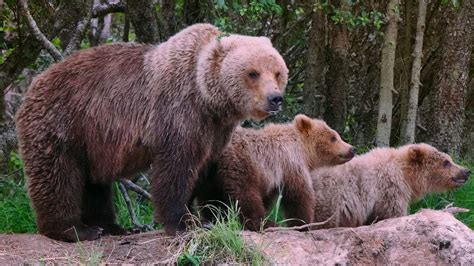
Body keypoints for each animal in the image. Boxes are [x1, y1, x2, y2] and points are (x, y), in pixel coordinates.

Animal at [15, 23, 288, 242]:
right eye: (253, 72)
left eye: (277, 72)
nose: (275, 98)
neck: (208, 97)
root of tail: (33, 85)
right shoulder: (178, 114)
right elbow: (175, 169)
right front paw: (185, 222)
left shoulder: (214, 131)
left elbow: (206, 171)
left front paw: (216, 217)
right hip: (63, 122)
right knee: (58, 175)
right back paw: (74, 230)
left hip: (92, 140)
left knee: (94, 183)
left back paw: (111, 227)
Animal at [193, 114, 356, 231]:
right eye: (333, 137)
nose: (352, 148)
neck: (304, 150)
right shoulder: (291, 164)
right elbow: (298, 196)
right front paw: (303, 223)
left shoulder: (272, 178)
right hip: (240, 164)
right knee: (245, 194)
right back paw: (264, 223)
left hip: (207, 172)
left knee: (210, 199)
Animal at [312, 143, 470, 229]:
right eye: (446, 162)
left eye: (450, 159)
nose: (466, 171)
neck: (406, 175)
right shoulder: (390, 188)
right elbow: (392, 213)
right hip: (328, 203)